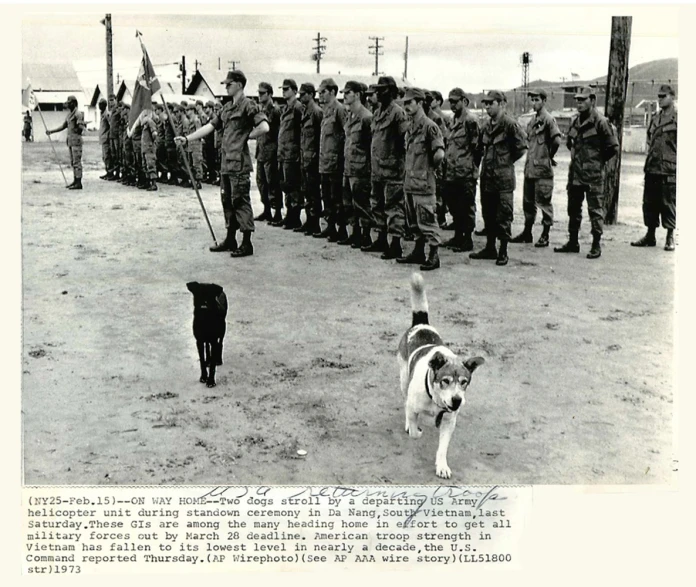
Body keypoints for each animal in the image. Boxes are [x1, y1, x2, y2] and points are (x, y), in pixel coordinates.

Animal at [396, 274, 484, 480]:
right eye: (445, 381)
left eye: (464, 382)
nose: (457, 400)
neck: (434, 399)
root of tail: (421, 324)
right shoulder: (414, 405)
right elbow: (414, 429)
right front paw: (415, 430)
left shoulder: (448, 421)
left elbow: (443, 448)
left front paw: (442, 466)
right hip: (404, 379)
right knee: (405, 402)